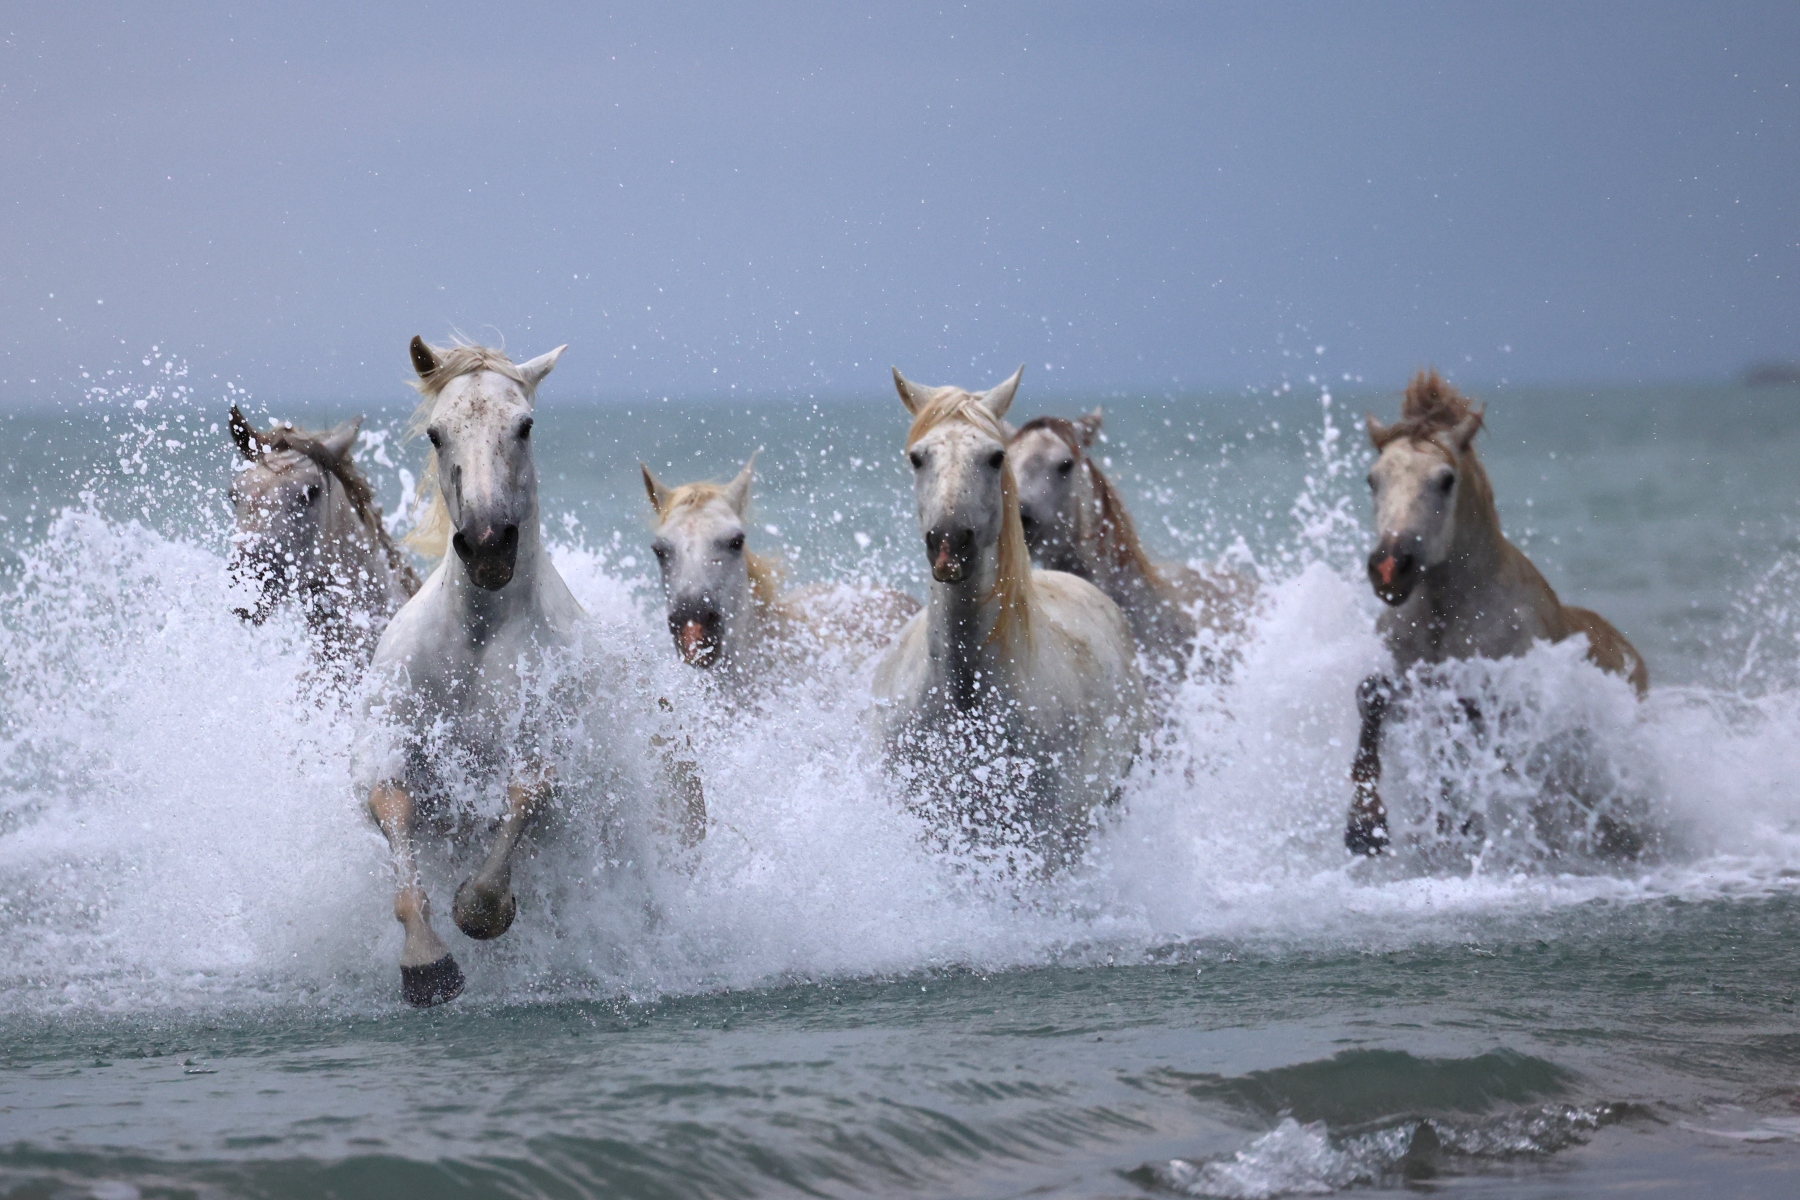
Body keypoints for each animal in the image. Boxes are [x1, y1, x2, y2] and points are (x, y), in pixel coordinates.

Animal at [359, 337, 705, 1006]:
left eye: (525, 425)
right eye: (437, 433)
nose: (488, 544)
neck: (476, 644)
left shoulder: (549, 760)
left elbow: (524, 804)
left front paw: (479, 909)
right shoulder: (391, 753)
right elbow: (392, 813)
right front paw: (426, 963)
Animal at [1344, 370, 1648, 856]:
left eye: (1446, 479)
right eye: (1373, 480)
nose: (1391, 567)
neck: (1449, 614)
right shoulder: (1410, 677)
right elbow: (1372, 695)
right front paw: (1365, 824)